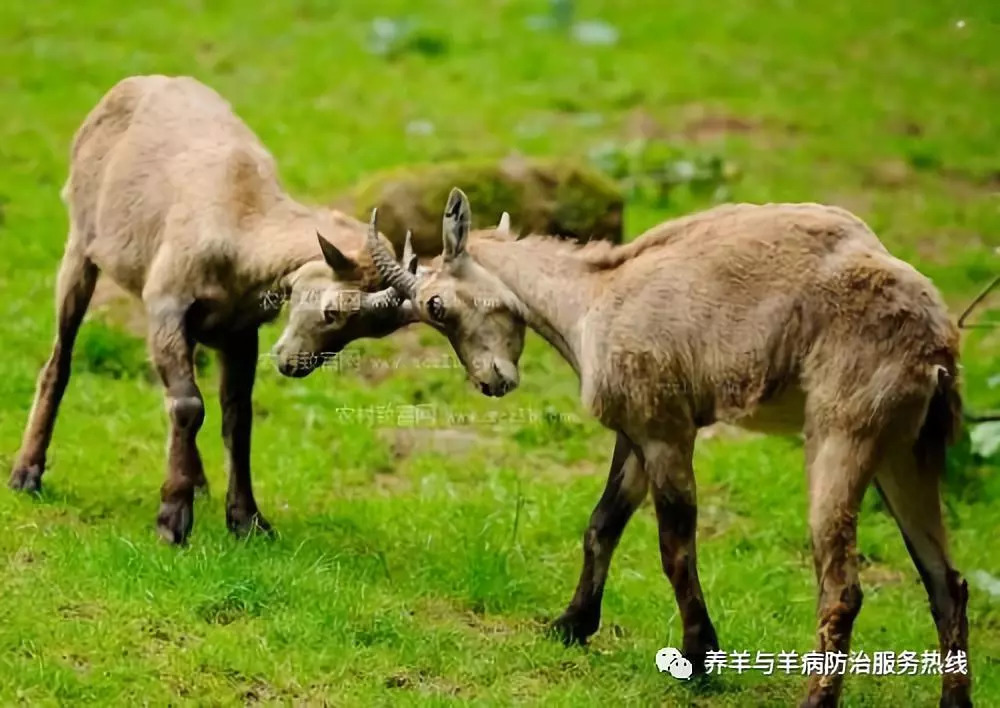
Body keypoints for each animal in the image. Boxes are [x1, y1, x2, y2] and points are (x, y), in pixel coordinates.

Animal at [7, 74, 414, 544]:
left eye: (368, 330)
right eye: (333, 310)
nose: (293, 365)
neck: (240, 217)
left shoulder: (239, 331)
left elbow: (237, 418)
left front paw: (248, 520)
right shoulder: (167, 302)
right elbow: (189, 404)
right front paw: (172, 520)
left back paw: (197, 480)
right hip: (80, 246)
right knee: (61, 359)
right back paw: (27, 473)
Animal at [366, 188, 968, 708]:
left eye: (436, 305)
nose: (491, 382)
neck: (594, 298)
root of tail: (936, 345)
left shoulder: (665, 432)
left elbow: (674, 548)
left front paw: (698, 658)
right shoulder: (635, 436)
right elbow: (602, 525)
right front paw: (571, 625)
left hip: (841, 437)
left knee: (844, 588)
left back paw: (815, 700)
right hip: (903, 454)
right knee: (947, 582)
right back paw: (954, 700)